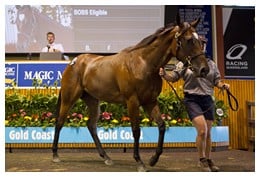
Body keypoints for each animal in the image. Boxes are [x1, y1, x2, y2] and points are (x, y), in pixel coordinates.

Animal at [52, 14, 209, 171]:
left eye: (200, 40)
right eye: (189, 40)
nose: (204, 69)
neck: (144, 64)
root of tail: (74, 62)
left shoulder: (150, 101)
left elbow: (162, 126)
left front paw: (153, 159)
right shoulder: (132, 101)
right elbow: (136, 130)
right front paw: (139, 162)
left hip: (93, 100)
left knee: (91, 125)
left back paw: (106, 157)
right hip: (69, 98)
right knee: (59, 122)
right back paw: (55, 155)